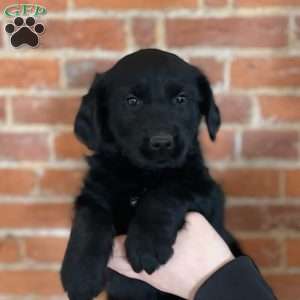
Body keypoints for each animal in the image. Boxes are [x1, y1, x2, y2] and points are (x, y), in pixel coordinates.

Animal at [61, 48, 241, 300]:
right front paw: (80, 274)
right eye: (132, 101)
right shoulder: (94, 190)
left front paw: (147, 244)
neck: (143, 175)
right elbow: (89, 218)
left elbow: (166, 192)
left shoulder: (206, 189)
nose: (162, 142)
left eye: (181, 99)